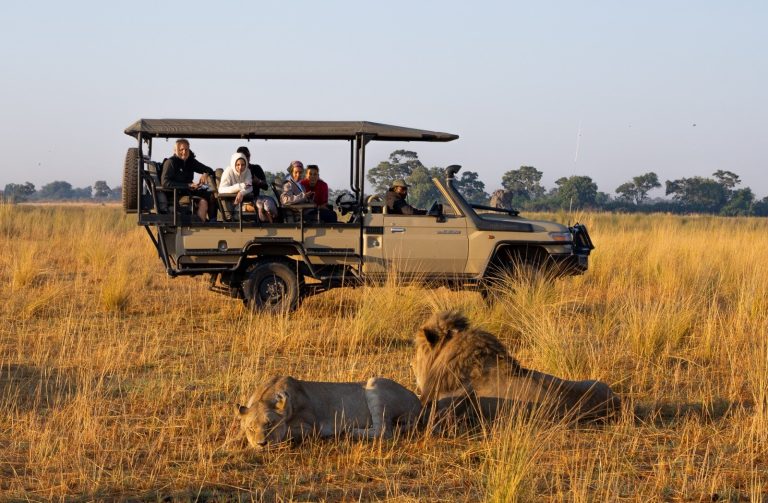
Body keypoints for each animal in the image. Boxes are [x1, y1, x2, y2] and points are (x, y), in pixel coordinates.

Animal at [236, 375, 422, 448]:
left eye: (270, 425)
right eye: (251, 428)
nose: (261, 444)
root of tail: (419, 403)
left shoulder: (311, 427)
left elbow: (289, 434)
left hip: (374, 383)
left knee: (385, 431)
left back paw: (350, 432)